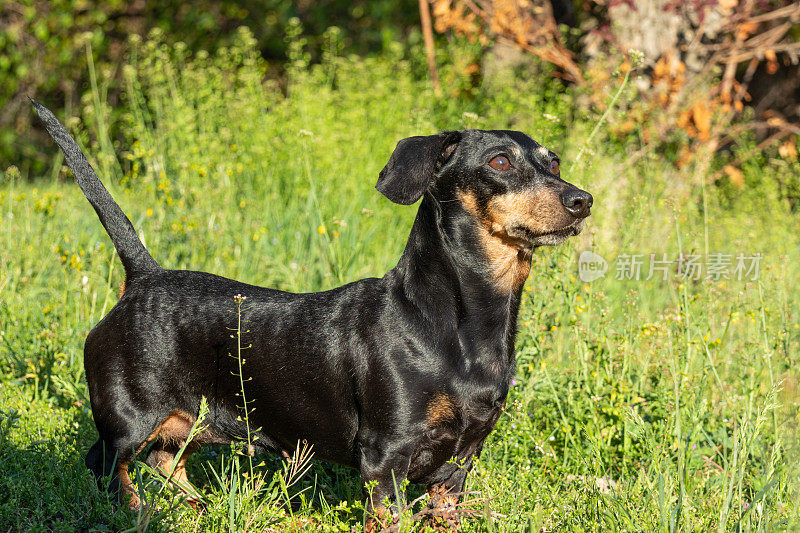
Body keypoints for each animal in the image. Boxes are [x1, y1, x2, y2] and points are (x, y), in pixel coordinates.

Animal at [34, 100, 592, 528]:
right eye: (499, 163)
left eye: (554, 162)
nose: (582, 200)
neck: (457, 327)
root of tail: (144, 277)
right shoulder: (385, 457)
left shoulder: (458, 465)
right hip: (127, 422)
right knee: (107, 468)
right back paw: (133, 515)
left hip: (184, 425)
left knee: (165, 464)